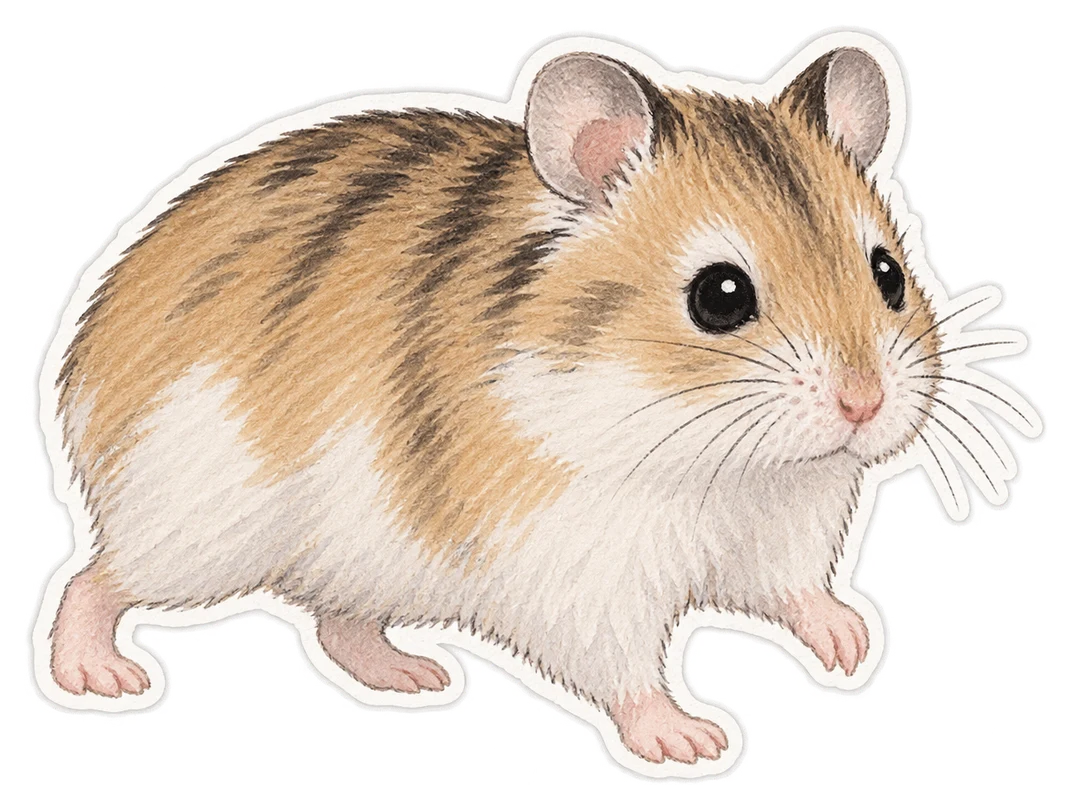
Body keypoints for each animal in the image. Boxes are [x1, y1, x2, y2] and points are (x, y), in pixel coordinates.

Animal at [49, 47, 939, 764]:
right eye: (720, 297)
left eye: (889, 274)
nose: (865, 403)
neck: (723, 466)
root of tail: (80, 379)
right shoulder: (576, 560)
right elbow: (623, 667)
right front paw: (692, 740)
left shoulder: (784, 528)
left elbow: (795, 590)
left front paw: (854, 643)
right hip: (199, 526)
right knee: (94, 579)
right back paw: (96, 675)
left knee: (337, 620)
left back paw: (413, 675)